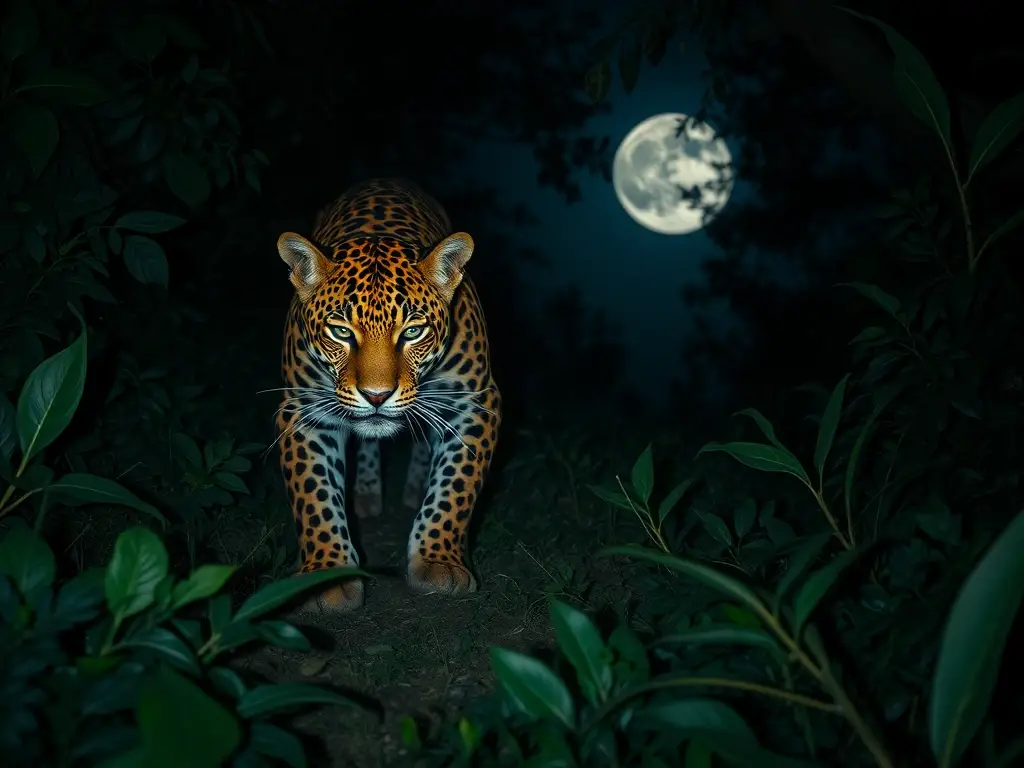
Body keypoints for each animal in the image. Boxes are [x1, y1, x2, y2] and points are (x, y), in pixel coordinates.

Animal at [275, 178, 502, 614]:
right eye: (341, 332)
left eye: (412, 331)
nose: (376, 396)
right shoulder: (302, 409)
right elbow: (313, 494)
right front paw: (325, 571)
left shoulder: (475, 403)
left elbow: (456, 486)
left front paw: (438, 560)